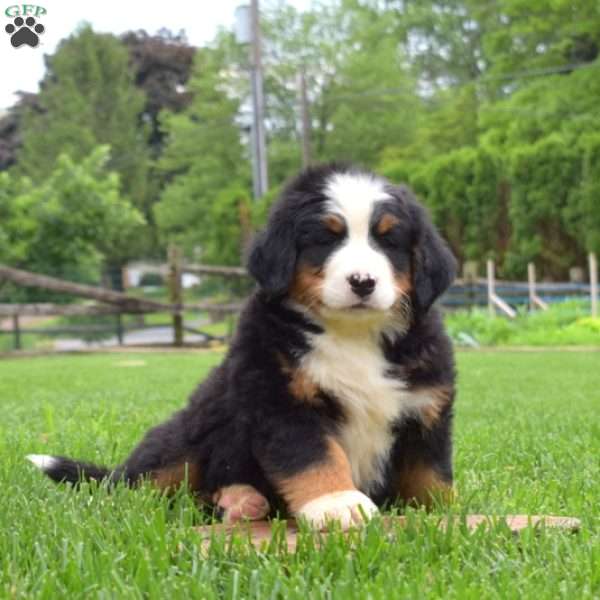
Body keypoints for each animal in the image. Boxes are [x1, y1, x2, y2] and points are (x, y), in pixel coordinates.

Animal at [29, 162, 454, 528]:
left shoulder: (426, 409)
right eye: (326, 239)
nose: (363, 281)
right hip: (189, 432)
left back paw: (241, 502)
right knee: (142, 485)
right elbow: (315, 458)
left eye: (389, 241)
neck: (354, 335)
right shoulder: (282, 401)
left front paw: (444, 515)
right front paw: (337, 505)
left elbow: (431, 476)